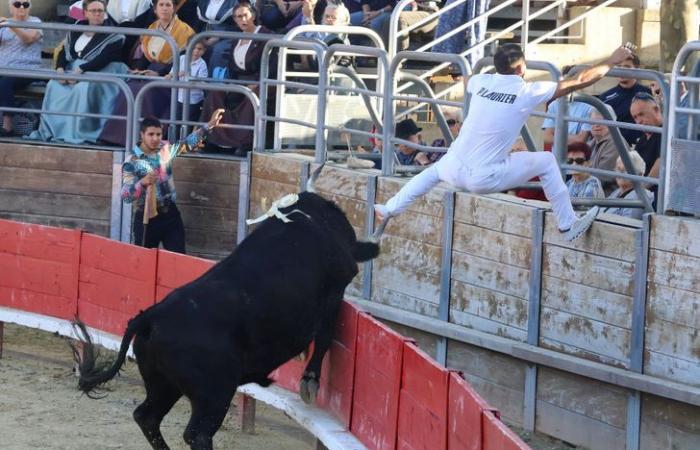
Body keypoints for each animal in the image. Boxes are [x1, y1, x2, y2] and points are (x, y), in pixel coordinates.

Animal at [71, 182, 382, 450]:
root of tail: (149, 316)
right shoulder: (333, 293)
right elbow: (325, 337)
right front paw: (310, 381)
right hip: (214, 393)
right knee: (196, 433)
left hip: (163, 384)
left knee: (147, 417)